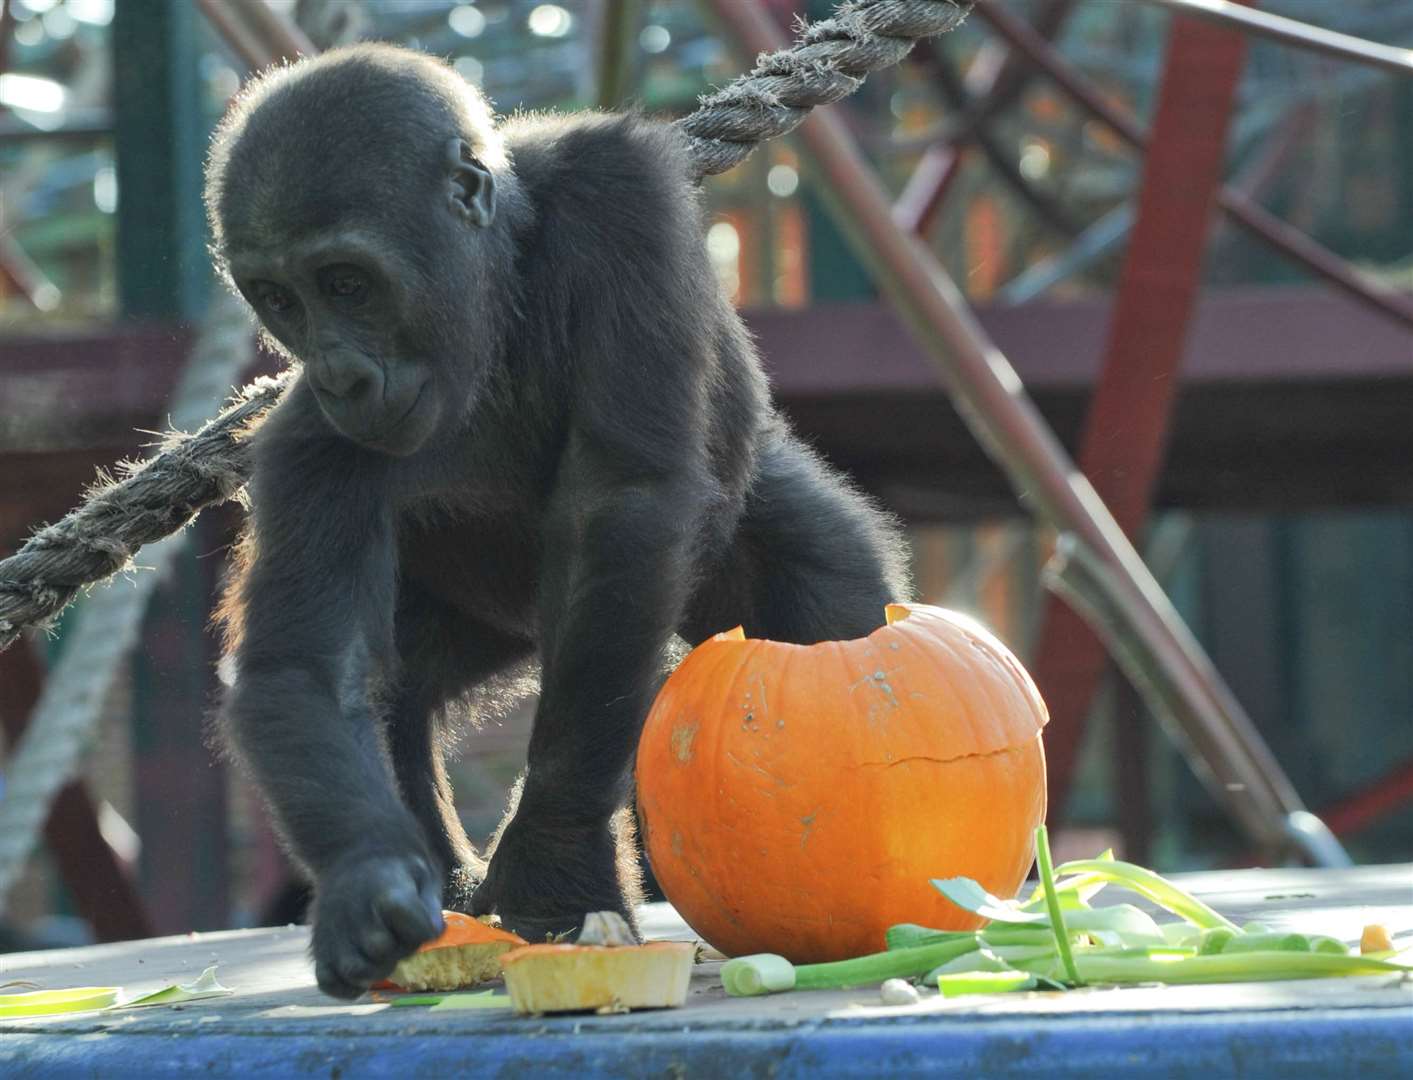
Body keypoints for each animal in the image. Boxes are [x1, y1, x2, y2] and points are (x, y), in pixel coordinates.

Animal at [206, 46, 904, 1000]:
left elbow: (625, 502)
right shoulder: (308, 450)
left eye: (346, 283)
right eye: (279, 298)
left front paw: (553, 861)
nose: (341, 373)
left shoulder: (618, 197)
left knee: (824, 594)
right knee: (401, 686)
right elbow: (309, 666)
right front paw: (366, 879)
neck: (497, 287)